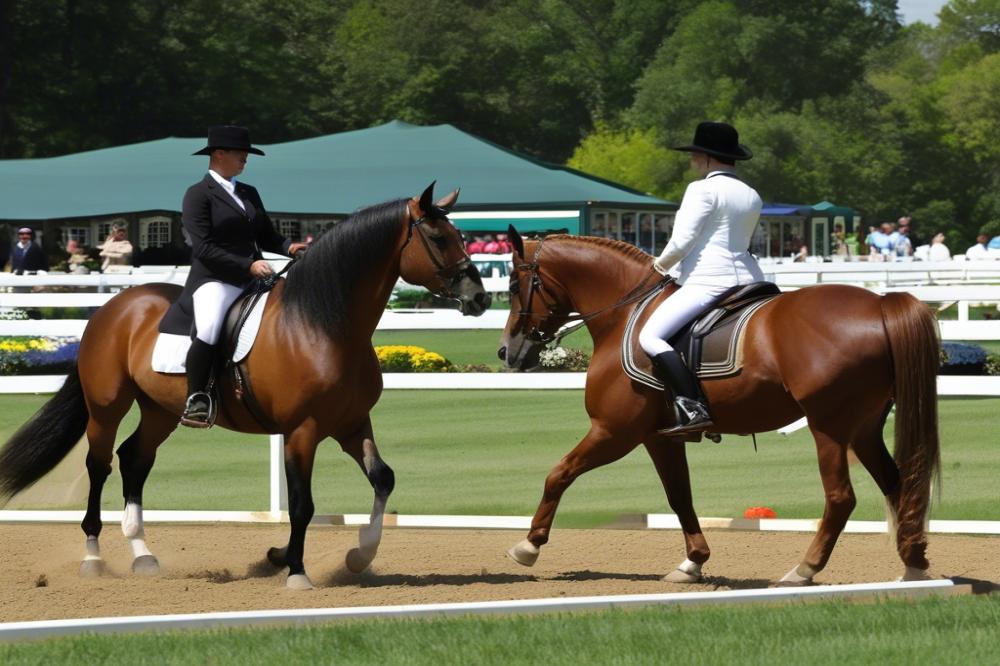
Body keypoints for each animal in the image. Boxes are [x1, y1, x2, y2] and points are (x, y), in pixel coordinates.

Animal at [0, 182, 488, 588]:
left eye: (462, 236)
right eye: (439, 238)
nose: (479, 297)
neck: (321, 324)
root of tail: (112, 307)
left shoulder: (350, 423)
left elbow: (383, 479)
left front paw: (353, 557)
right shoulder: (303, 430)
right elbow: (302, 504)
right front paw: (295, 571)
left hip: (161, 410)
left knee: (134, 459)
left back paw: (143, 555)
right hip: (107, 407)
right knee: (99, 466)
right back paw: (93, 559)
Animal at [498, 231, 936, 584]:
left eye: (516, 283)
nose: (507, 350)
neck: (624, 313)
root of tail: (879, 303)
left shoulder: (614, 432)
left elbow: (559, 474)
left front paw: (529, 546)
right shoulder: (660, 438)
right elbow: (680, 496)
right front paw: (692, 562)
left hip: (828, 426)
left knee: (841, 498)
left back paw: (805, 569)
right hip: (863, 429)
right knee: (899, 485)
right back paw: (913, 565)